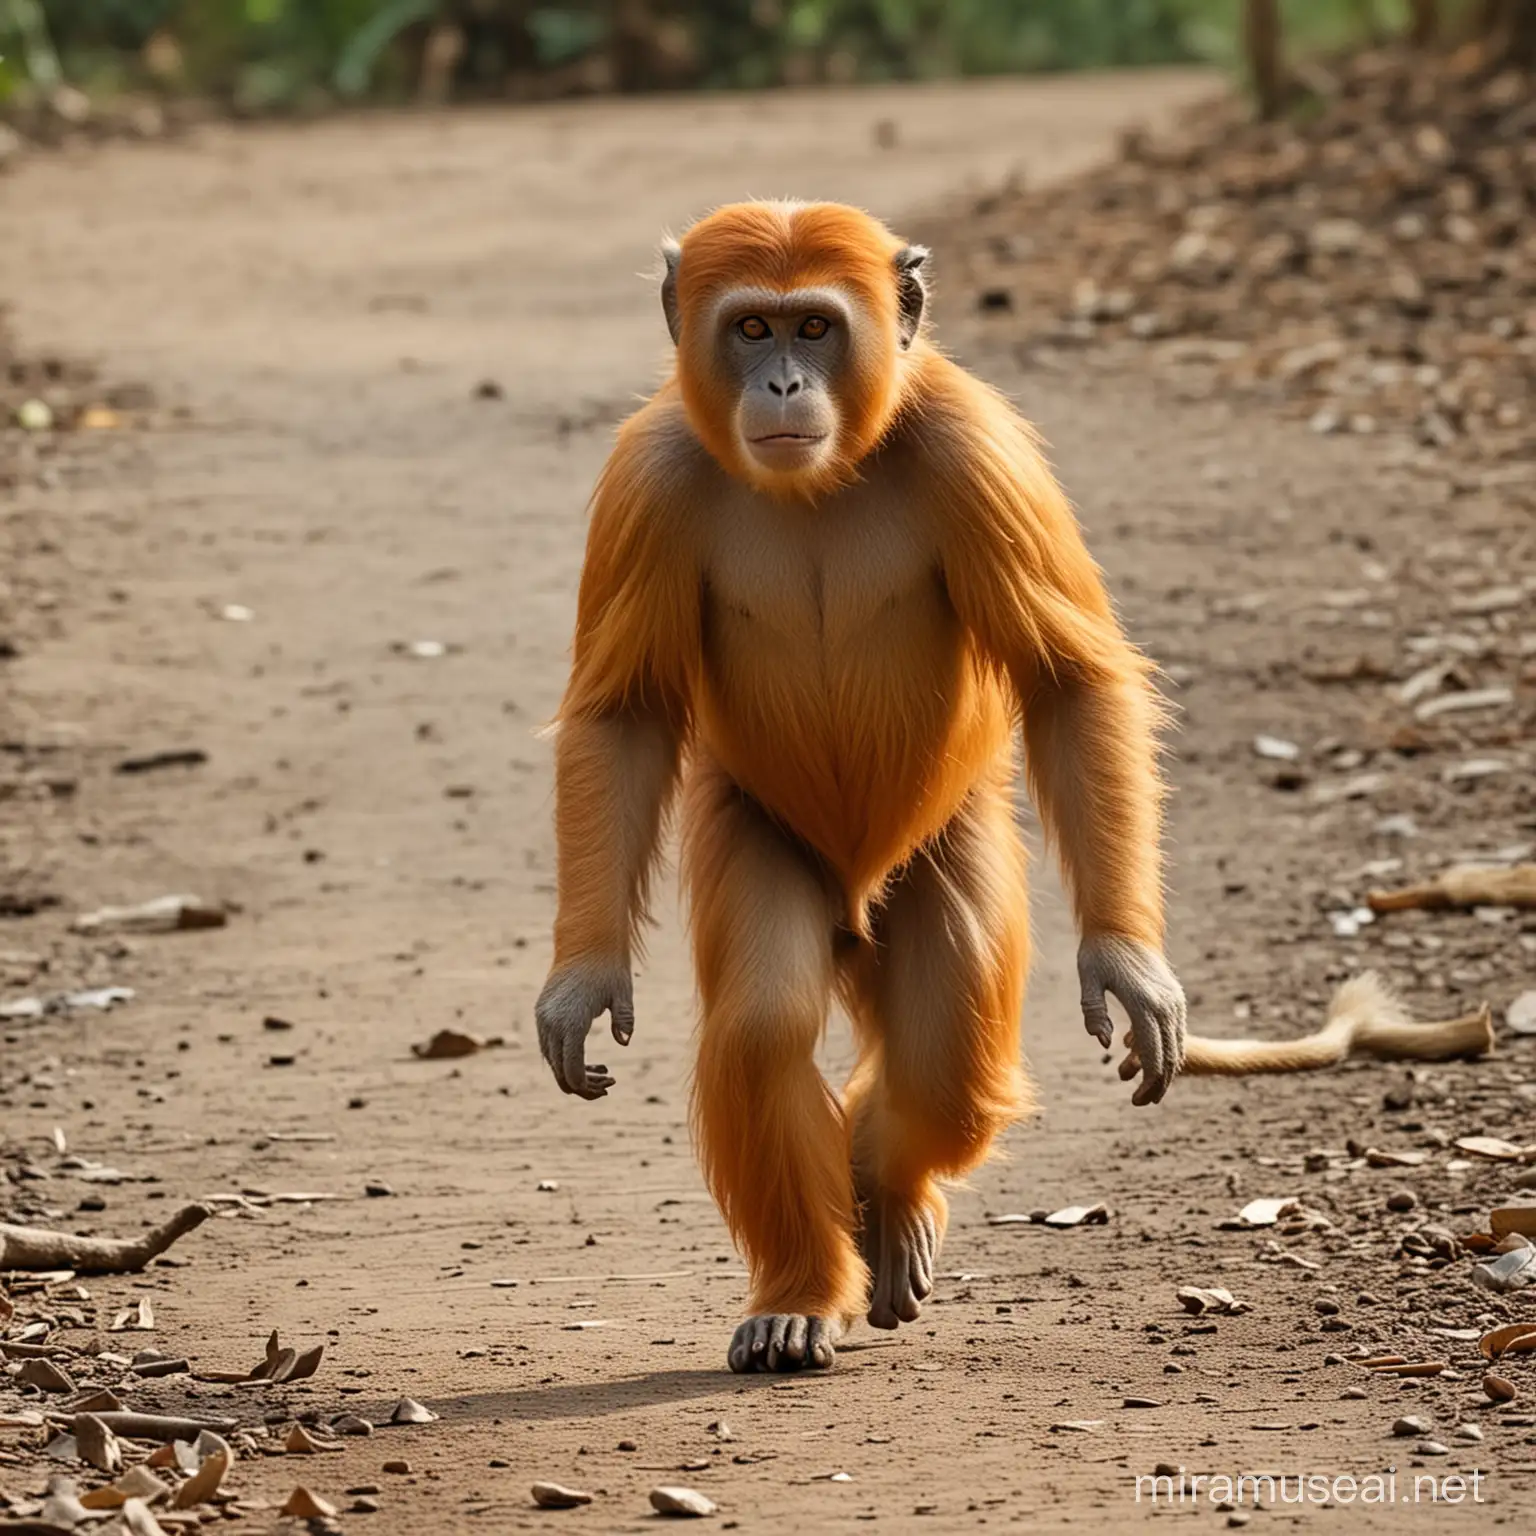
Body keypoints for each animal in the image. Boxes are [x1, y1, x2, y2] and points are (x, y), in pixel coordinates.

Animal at [531, 201, 1185, 1370]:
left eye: (815, 328)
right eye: (752, 328)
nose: (785, 382)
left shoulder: (977, 448)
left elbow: (1069, 683)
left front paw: (1125, 960)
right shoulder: (649, 476)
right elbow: (623, 720)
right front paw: (583, 978)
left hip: (950, 839)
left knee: (949, 1054)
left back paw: (889, 1183)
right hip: (756, 830)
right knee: (767, 1025)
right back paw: (804, 1284)